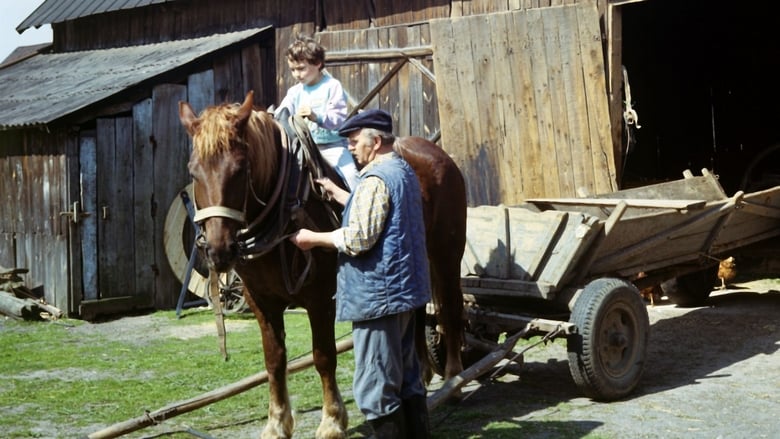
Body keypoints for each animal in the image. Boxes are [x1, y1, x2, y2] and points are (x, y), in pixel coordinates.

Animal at [178, 91, 464, 438]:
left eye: (241, 168)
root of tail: (436, 153)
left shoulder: (320, 298)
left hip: (447, 254)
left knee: (450, 309)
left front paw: (332, 420)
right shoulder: (261, 300)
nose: (218, 250)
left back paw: (454, 378)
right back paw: (422, 372)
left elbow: (323, 356)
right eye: (194, 171)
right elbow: (274, 359)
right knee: (416, 310)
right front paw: (277, 422)